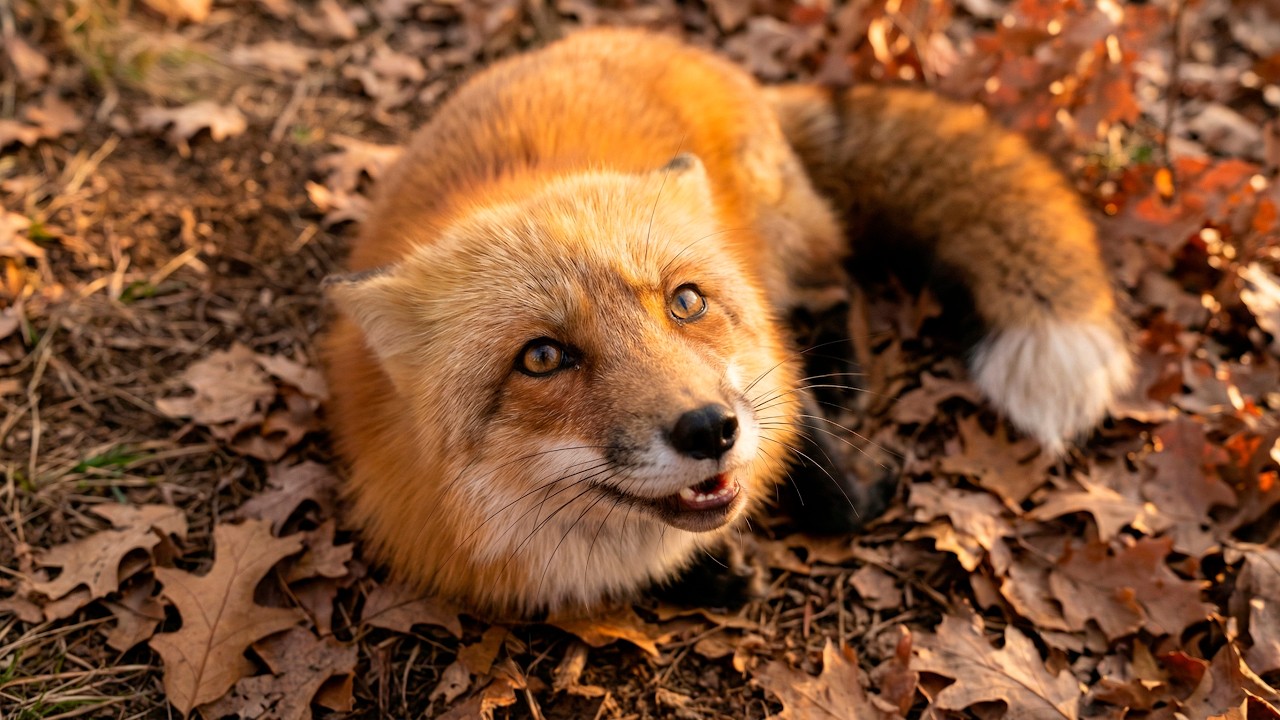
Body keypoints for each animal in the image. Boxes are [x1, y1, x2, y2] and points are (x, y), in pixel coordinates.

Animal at [323, 28, 1133, 618]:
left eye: (686, 302)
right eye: (542, 357)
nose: (711, 429)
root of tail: (663, 42)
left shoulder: (765, 363)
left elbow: (817, 460)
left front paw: (854, 494)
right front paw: (703, 578)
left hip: (777, 239)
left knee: (837, 283)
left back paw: (843, 373)